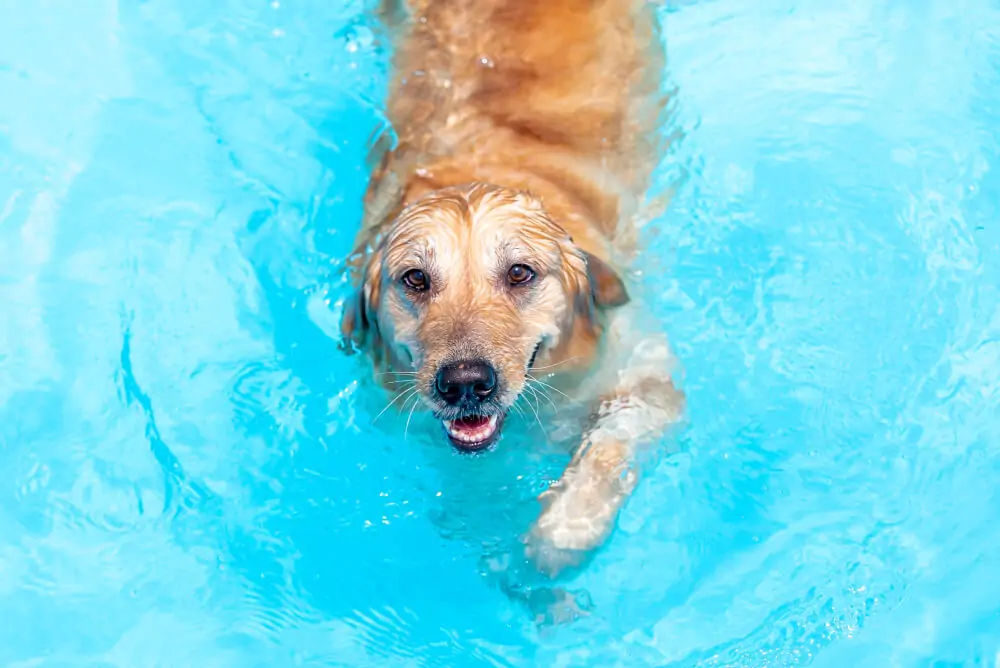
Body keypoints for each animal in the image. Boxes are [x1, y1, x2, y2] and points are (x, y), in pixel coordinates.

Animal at [340, 0, 684, 576]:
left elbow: (608, 446)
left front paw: (560, 531)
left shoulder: (647, 378)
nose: (464, 383)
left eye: (519, 273)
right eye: (415, 279)